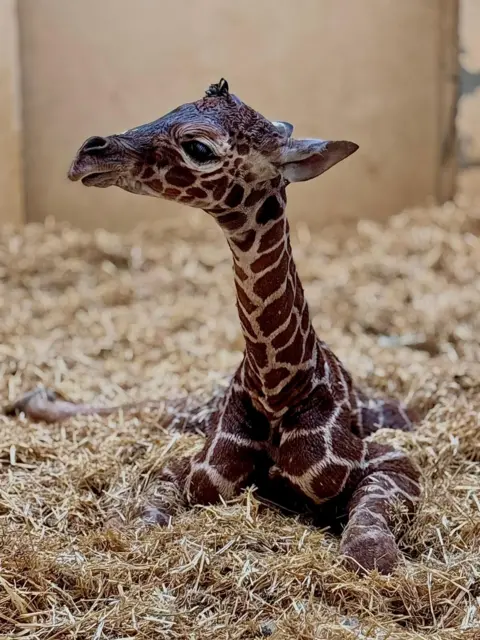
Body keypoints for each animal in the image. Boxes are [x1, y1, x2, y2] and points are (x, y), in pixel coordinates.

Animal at [8, 80, 421, 575]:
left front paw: (376, 555)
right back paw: (29, 398)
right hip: (193, 410)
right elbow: (149, 513)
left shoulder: (394, 461)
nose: (89, 154)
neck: (276, 386)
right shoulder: (196, 470)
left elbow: (368, 538)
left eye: (199, 147)